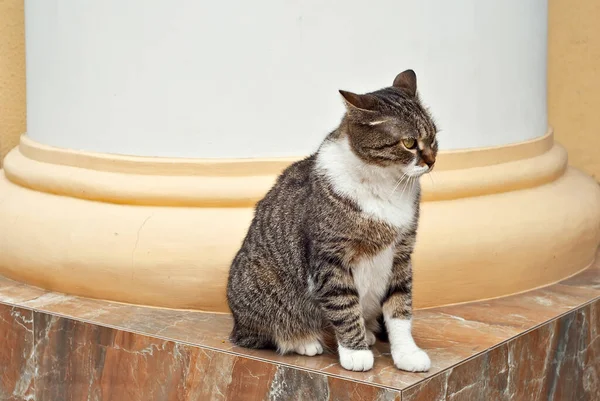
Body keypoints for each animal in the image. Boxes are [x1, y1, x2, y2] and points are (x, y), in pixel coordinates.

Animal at [225, 69, 436, 372]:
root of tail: (235, 323)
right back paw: (304, 340)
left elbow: (400, 308)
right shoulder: (331, 258)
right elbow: (344, 306)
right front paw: (355, 353)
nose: (432, 161)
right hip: (262, 288)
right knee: (264, 333)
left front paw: (406, 353)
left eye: (433, 138)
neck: (385, 184)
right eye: (409, 143)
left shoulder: (402, 253)